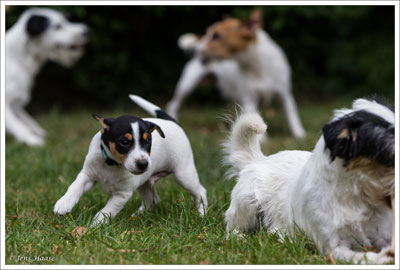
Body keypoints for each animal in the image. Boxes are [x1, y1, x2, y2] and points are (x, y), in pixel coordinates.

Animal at [5, 8, 88, 147]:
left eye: (66, 20)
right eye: (58, 26)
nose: (87, 31)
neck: (19, 59)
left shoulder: (16, 103)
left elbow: (27, 120)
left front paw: (39, 133)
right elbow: (17, 124)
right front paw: (32, 140)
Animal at [54, 95, 208, 226]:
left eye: (148, 141)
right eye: (124, 142)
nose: (143, 164)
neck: (112, 164)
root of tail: (171, 122)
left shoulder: (122, 194)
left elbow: (107, 211)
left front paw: (95, 224)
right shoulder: (88, 175)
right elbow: (75, 186)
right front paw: (64, 204)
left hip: (183, 173)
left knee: (200, 191)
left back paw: (202, 213)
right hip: (144, 182)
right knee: (152, 200)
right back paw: (137, 215)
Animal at [167, 9, 304, 138]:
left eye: (216, 36)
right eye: (209, 33)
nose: (194, 50)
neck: (257, 66)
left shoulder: (285, 95)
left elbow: (292, 115)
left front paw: (299, 134)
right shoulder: (249, 99)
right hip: (187, 85)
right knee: (173, 104)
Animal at [223, 97, 396, 264]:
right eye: (390, 157)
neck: (357, 198)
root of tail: (259, 160)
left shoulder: (383, 232)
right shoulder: (333, 248)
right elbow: (359, 257)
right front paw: (380, 258)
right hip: (248, 200)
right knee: (232, 227)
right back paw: (240, 237)